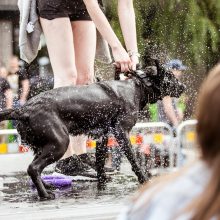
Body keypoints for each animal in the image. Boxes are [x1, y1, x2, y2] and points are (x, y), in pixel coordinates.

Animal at [0, 59, 184, 199]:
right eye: (171, 77)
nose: (183, 87)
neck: (138, 86)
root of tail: (23, 110)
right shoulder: (122, 133)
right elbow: (134, 161)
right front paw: (144, 180)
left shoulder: (103, 137)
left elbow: (100, 165)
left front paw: (102, 184)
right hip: (59, 143)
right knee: (34, 168)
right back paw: (44, 194)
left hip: (43, 145)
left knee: (35, 168)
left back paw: (47, 186)